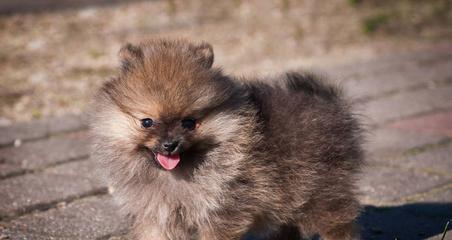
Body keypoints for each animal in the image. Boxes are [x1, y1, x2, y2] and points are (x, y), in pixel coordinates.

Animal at [90, 39, 366, 240]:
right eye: (147, 122)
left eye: (189, 122)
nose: (170, 144)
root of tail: (329, 104)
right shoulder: (156, 214)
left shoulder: (222, 209)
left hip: (321, 189)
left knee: (337, 224)